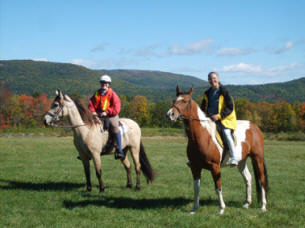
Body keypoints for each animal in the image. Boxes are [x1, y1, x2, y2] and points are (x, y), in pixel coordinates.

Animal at [165, 86, 268, 215]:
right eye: (174, 100)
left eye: (184, 101)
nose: (170, 114)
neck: (201, 136)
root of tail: (255, 127)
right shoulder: (195, 167)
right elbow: (196, 188)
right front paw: (194, 209)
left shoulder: (215, 167)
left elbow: (218, 187)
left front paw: (221, 209)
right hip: (241, 161)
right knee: (248, 178)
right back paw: (246, 204)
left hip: (257, 158)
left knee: (262, 179)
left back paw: (263, 206)